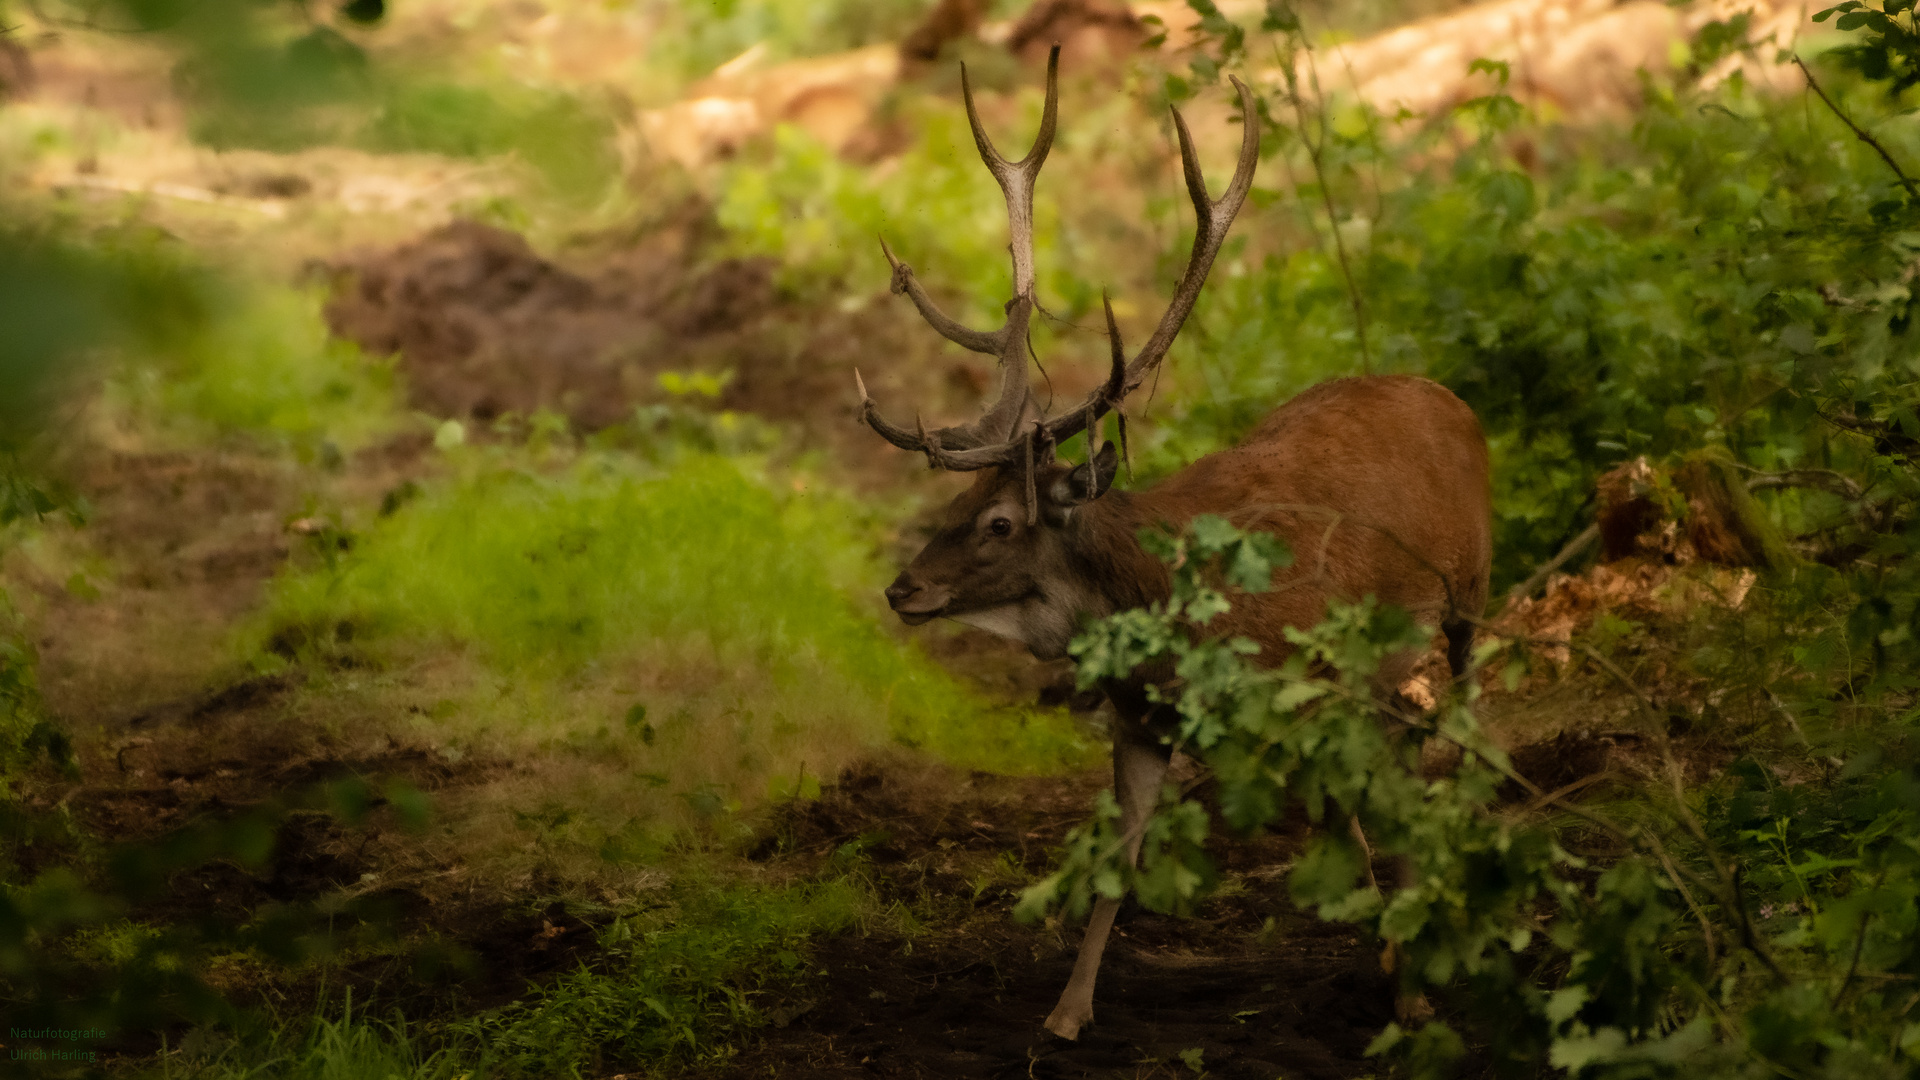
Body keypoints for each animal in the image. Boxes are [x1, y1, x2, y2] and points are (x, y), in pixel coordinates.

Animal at [856, 46, 1497, 1037]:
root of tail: (1448, 396)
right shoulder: (1139, 719)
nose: (902, 589)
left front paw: (1412, 993)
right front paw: (1068, 1012)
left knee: (1458, 726)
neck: (1172, 612)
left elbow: (1355, 832)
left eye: (1002, 522)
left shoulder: (1307, 693)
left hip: (1470, 594)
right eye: (959, 499)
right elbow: (1122, 861)